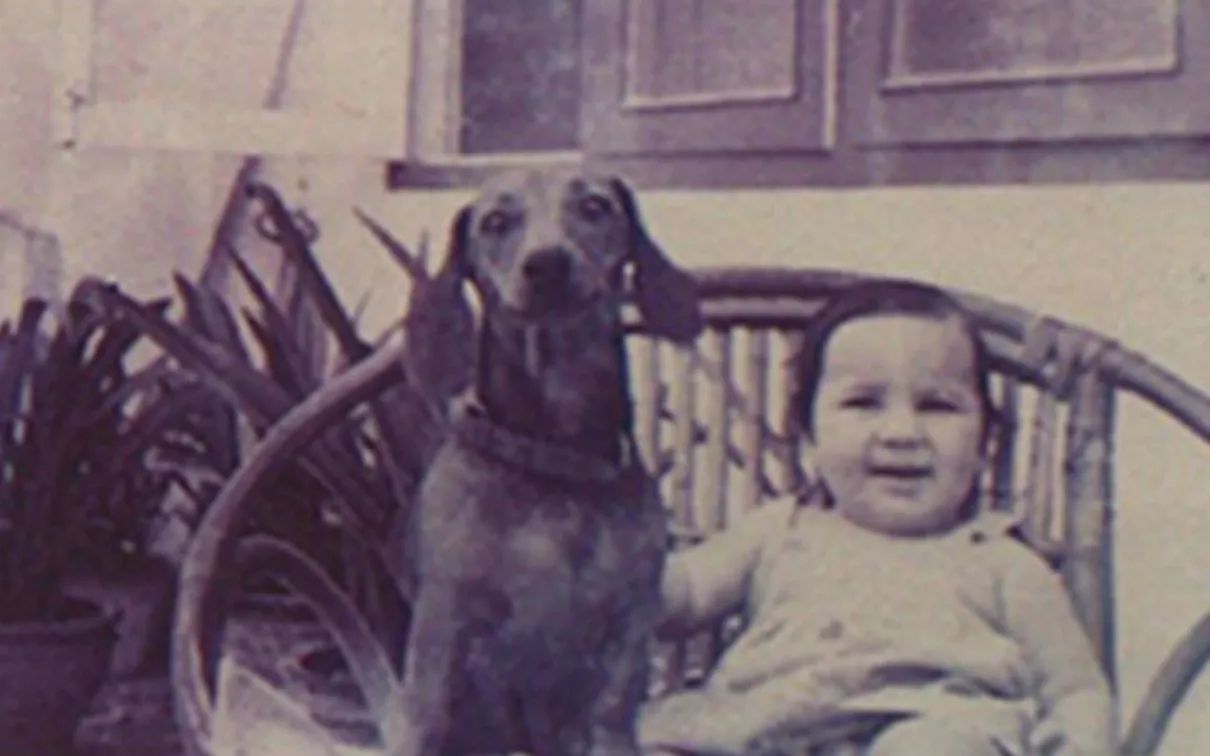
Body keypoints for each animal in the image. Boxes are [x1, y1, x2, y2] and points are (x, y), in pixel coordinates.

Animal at [392, 168, 706, 754]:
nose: (546, 264)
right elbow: (428, 717)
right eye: (495, 221)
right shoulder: (444, 626)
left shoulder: (628, 627)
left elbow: (610, 713)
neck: (557, 462)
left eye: (594, 206)